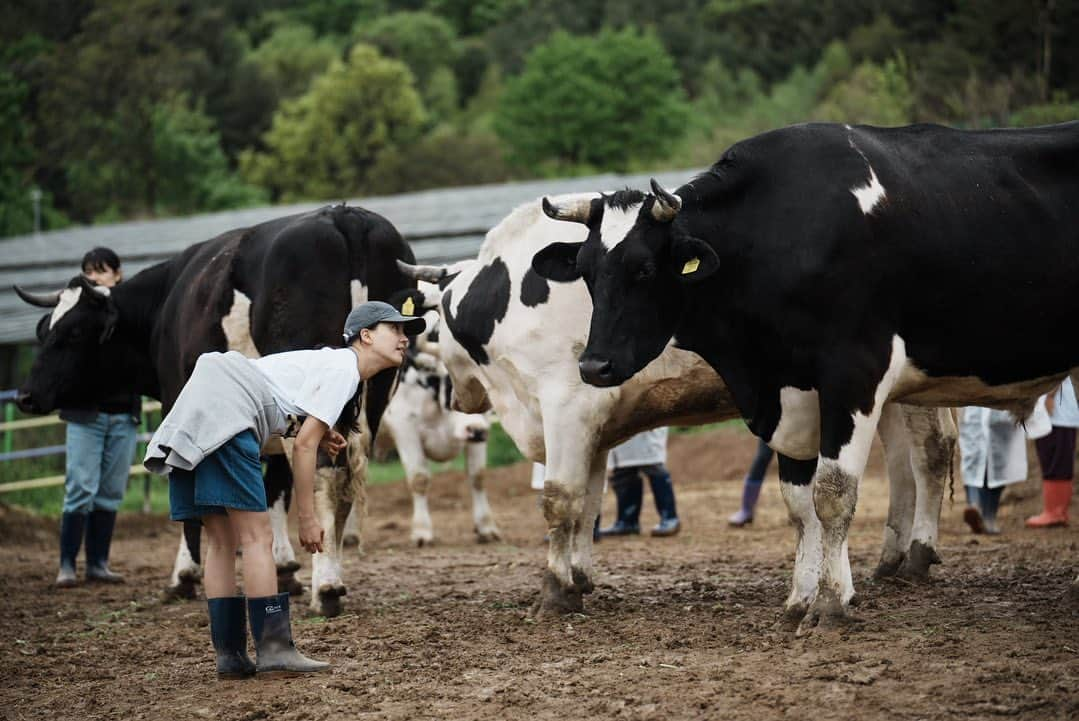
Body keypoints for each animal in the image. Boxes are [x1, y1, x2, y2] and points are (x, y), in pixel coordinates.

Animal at [15, 202, 412, 613]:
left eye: (73, 333)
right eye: (45, 330)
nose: (25, 396)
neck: (164, 305)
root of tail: (344, 214)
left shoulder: (181, 406)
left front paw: (184, 575)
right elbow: (276, 489)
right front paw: (284, 570)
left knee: (325, 477)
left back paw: (327, 588)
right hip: (371, 400)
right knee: (340, 478)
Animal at [401, 194, 958, 617]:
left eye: (434, 332)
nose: (461, 399)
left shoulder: (567, 407)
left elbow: (560, 501)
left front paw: (555, 593)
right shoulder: (594, 426)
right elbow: (590, 503)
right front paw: (580, 577)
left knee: (929, 454)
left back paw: (917, 554)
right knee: (901, 467)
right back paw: (890, 559)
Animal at [535, 122, 1079, 630]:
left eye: (644, 270)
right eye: (586, 272)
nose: (593, 365)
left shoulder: (854, 372)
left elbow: (832, 494)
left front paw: (832, 603)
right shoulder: (788, 390)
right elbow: (799, 504)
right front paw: (801, 597)